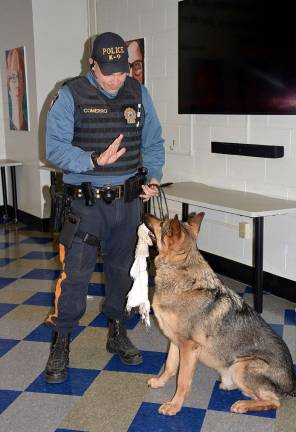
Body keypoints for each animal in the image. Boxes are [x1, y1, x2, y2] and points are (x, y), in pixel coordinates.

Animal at [145, 214, 294, 416]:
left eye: (161, 223)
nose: (145, 215)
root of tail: (291, 385)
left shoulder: (188, 347)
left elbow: (182, 380)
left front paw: (174, 405)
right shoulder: (174, 342)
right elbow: (169, 366)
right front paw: (160, 382)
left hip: (241, 366)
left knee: (273, 402)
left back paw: (242, 405)